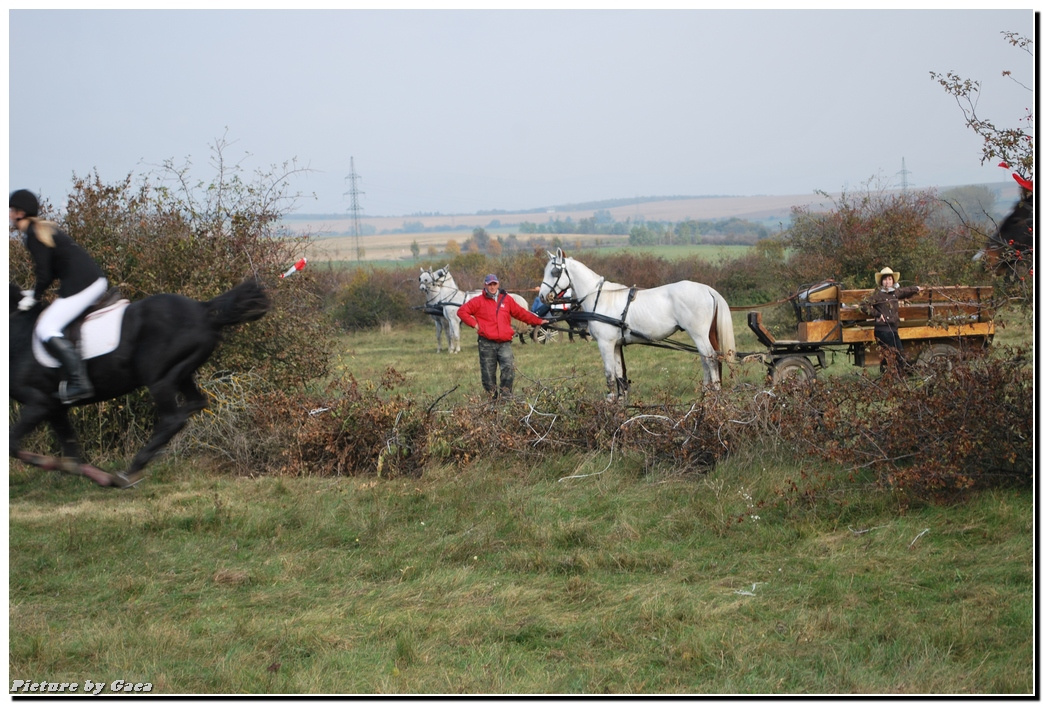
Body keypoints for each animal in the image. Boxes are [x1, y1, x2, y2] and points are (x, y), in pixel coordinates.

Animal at [9, 277, 269, 488]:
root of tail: (202, 309)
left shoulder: (39, 403)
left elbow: (12, 444)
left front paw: (44, 462)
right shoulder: (55, 408)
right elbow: (73, 455)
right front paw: (95, 475)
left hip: (159, 378)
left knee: (173, 418)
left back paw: (131, 471)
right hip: (181, 374)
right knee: (194, 404)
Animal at [542, 250, 738, 398]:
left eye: (554, 272)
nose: (543, 297)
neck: (600, 298)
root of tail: (708, 289)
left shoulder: (605, 344)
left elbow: (610, 377)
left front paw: (609, 403)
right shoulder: (615, 345)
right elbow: (619, 377)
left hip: (698, 334)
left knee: (711, 359)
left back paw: (715, 394)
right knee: (707, 360)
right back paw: (705, 393)